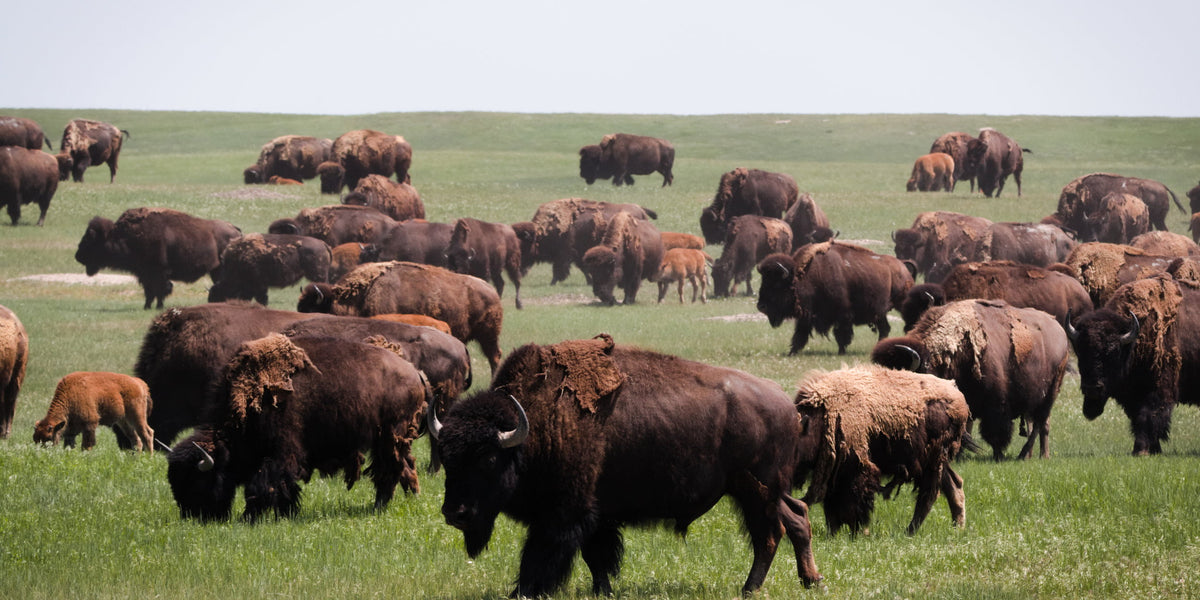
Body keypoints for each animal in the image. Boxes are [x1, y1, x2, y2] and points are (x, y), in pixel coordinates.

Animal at [429, 334, 821, 597]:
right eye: (447, 459)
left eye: (488, 458)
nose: (455, 513)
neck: (533, 425)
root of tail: (787, 406)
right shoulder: (596, 515)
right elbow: (596, 556)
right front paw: (601, 590)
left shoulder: (565, 514)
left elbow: (542, 555)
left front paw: (524, 591)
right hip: (764, 491)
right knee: (797, 516)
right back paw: (810, 580)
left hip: (757, 492)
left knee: (769, 535)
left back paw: (750, 588)